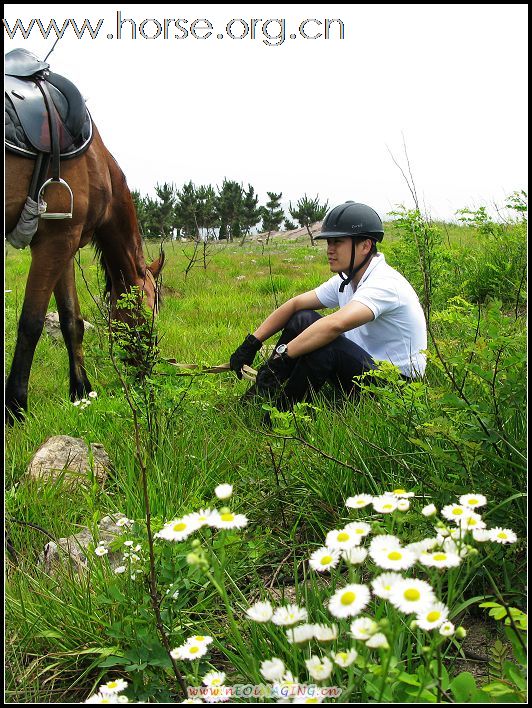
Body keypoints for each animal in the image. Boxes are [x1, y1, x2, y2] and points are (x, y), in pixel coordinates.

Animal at [4, 125, 164, 424]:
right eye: (148, 317)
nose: (147, 372)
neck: (96, 162)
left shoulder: (65, 241)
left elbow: (71, 321)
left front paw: (80, 390)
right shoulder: (56, 240)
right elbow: (31, 324)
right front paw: (15, 407)